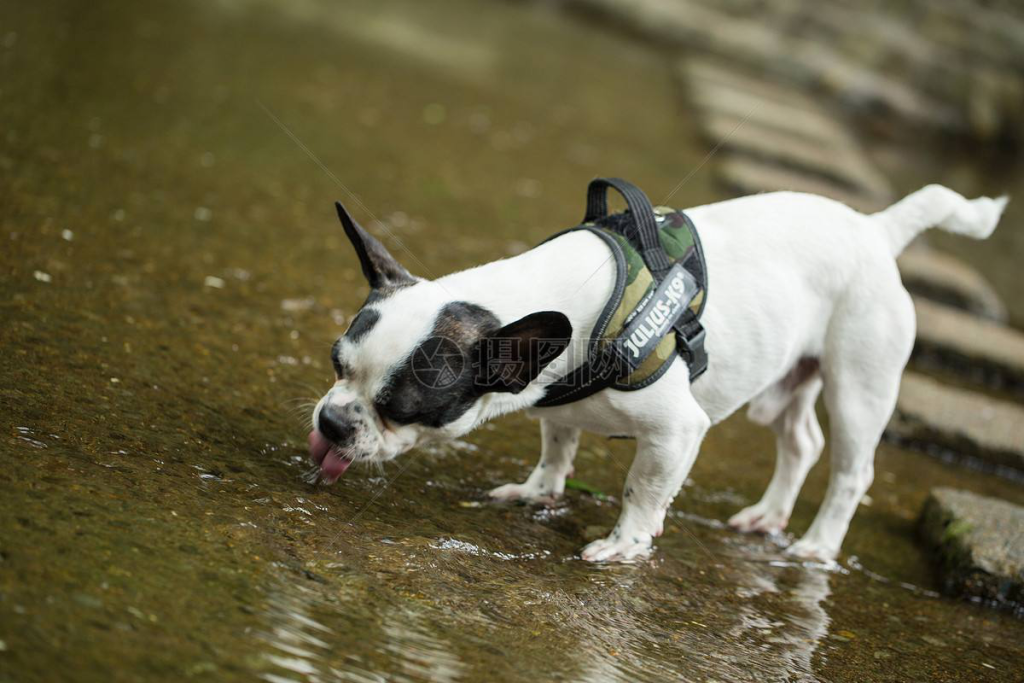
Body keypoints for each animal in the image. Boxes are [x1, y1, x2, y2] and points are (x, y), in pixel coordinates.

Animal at [307, 183, 1003, 561]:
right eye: (336, 364)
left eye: (402, 409)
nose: (333, 422)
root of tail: (876, 230)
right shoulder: (556, 401)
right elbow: (557, 444)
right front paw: (540, 490)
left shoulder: (675, 433)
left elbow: (642, 489)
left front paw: (626, 544)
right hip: (784, 383)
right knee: (800, 442)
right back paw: (767, 515)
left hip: (860, 382)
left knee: (852, 470)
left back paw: (818, 544)